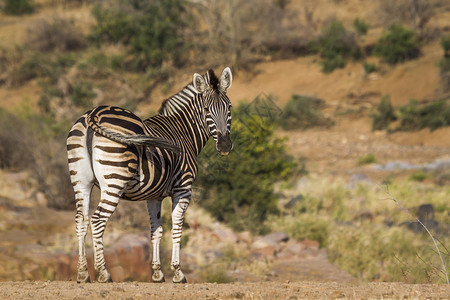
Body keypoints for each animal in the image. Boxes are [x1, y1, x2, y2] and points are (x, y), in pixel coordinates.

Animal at [67, 67, 236, 284]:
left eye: (229, 107)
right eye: (206, 110)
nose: (225, 147)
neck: (184, 132)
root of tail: (93, 114)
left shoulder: (154, 195)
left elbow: (156, 231)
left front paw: (157, 273)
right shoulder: (183, 189)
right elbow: (177, 228)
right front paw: (178, 273)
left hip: (80, 181)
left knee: (81, 220)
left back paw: (82, 273)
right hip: (114, 181)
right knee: (97, 220)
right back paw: (104, 273)